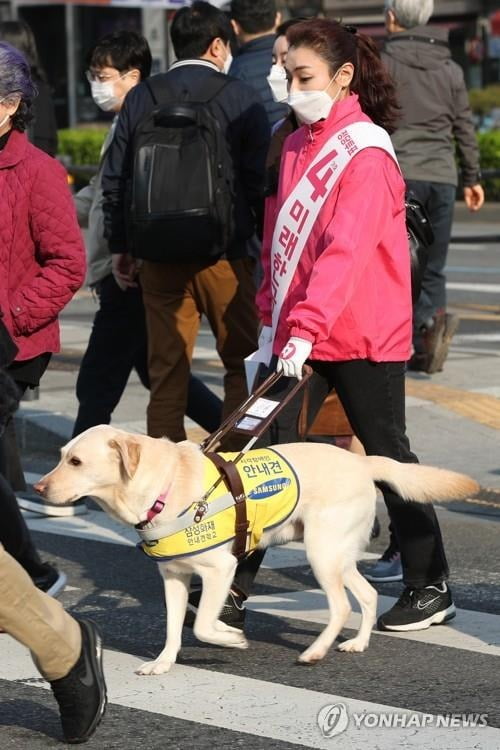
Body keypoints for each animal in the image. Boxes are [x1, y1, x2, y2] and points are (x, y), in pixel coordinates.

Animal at [33, 426, 478, 680]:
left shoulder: (220, 568)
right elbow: (174, 628)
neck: (161, 488)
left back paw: (316, 651)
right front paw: (163, 662)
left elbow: (202, 624)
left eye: (76, 461)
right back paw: (356, 644)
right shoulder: (174, 576)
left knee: (341, 607)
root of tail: (362, 461)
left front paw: (230, 638)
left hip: (321, 553)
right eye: (61, 456)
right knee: (366, 597)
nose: (38, 488)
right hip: (337, 554)